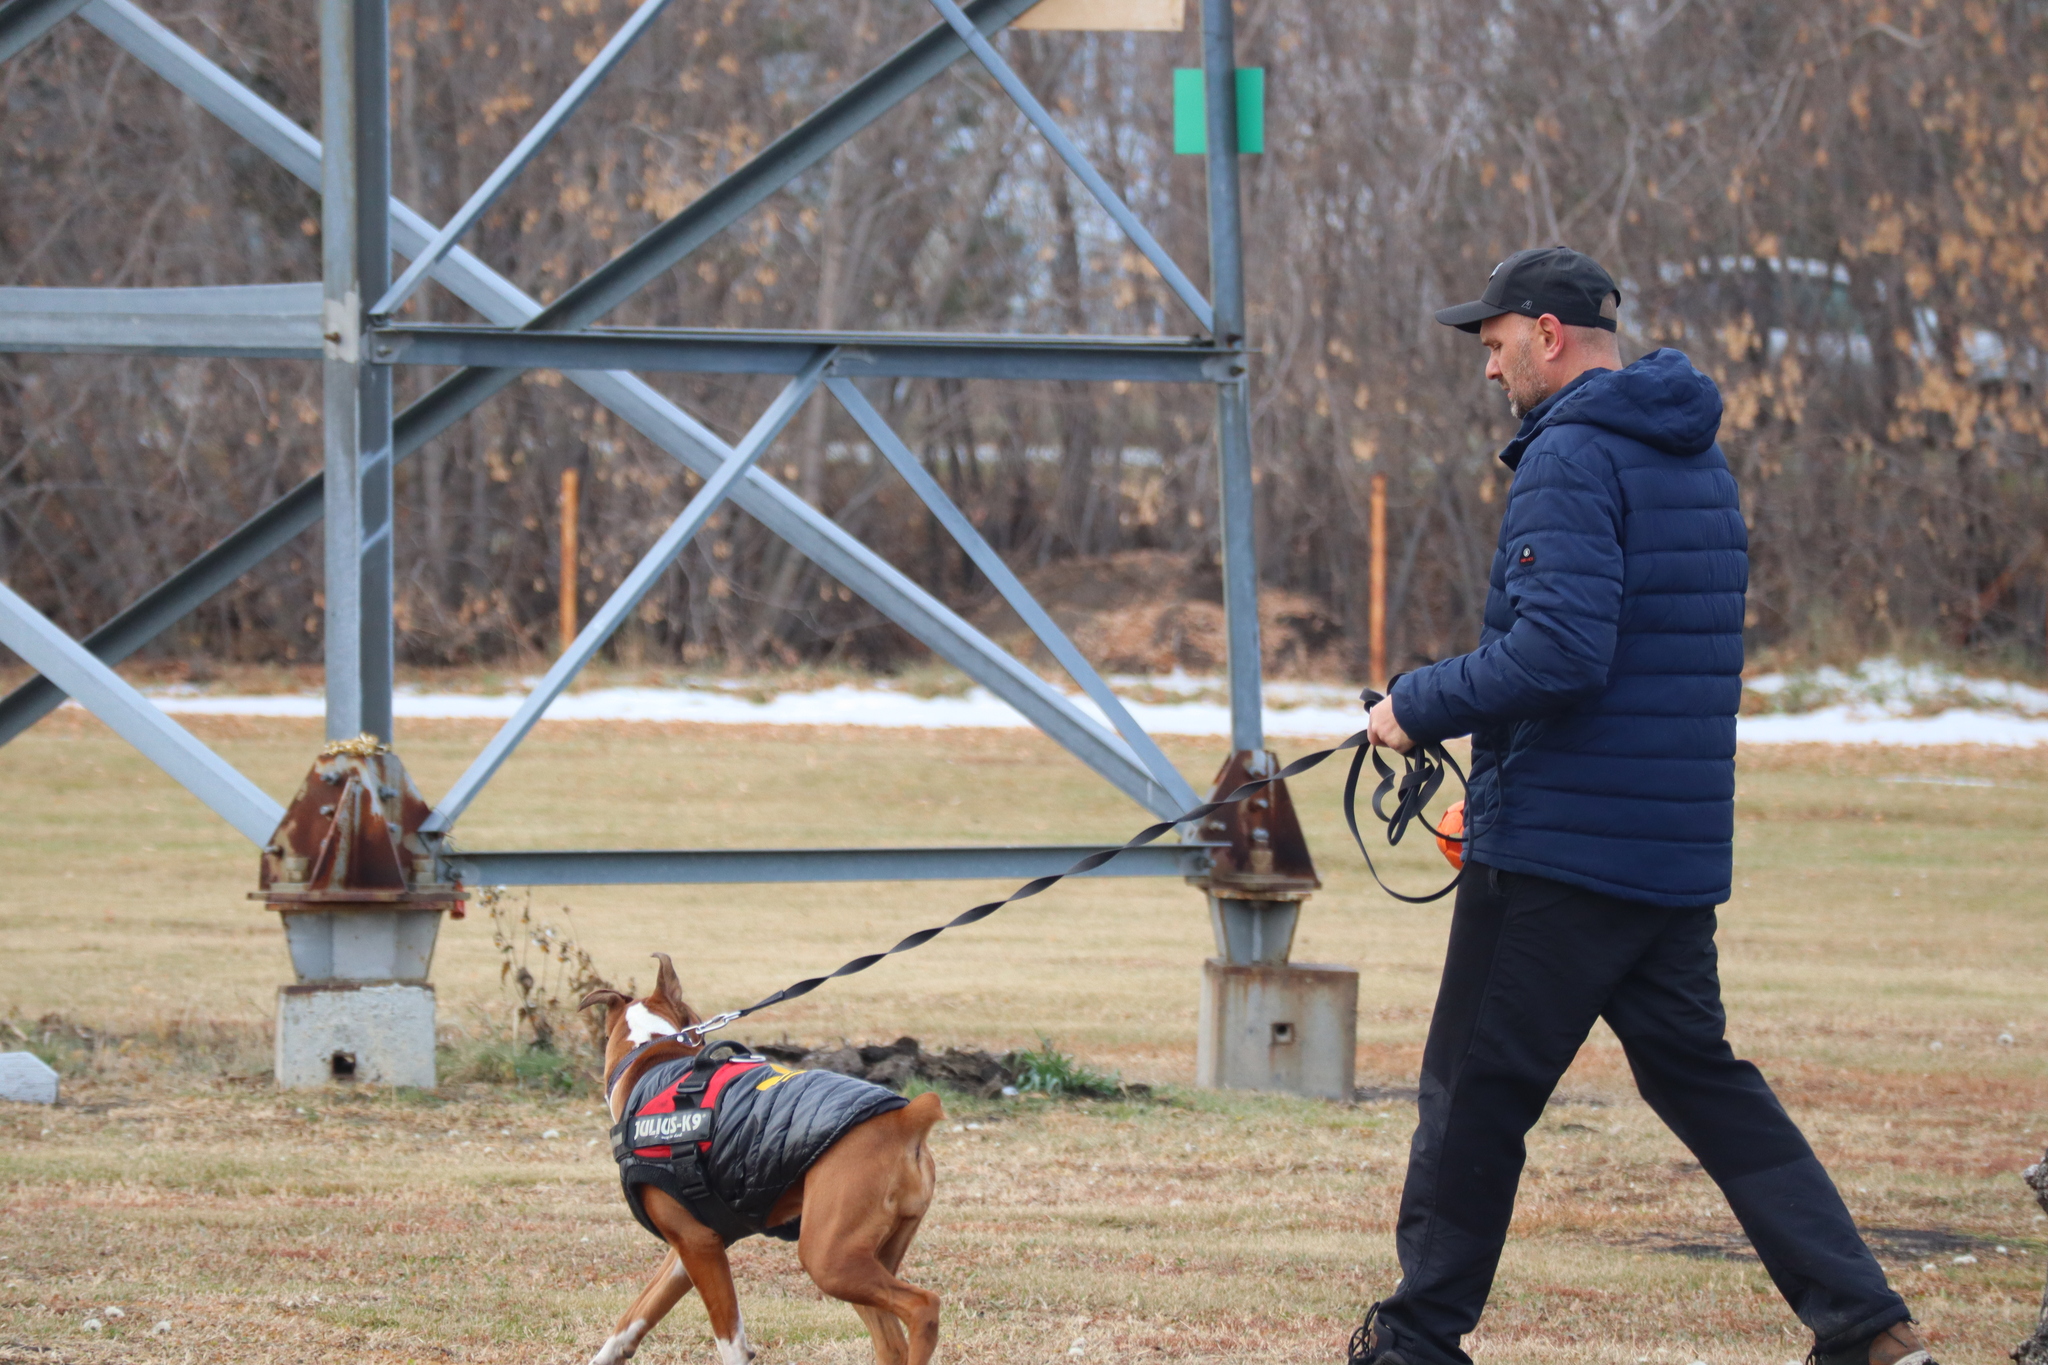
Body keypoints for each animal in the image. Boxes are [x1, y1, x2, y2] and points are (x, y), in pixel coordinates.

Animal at [577, 957, 942, 1365]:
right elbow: (635, 1316)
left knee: (923, 1307)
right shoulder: (689, 1247)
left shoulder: (699, 1245)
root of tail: (904, 1119)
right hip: (863, 1258)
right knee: (891, 1341)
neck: (651, 1060)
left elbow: (729, 1337)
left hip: (830, 1259)